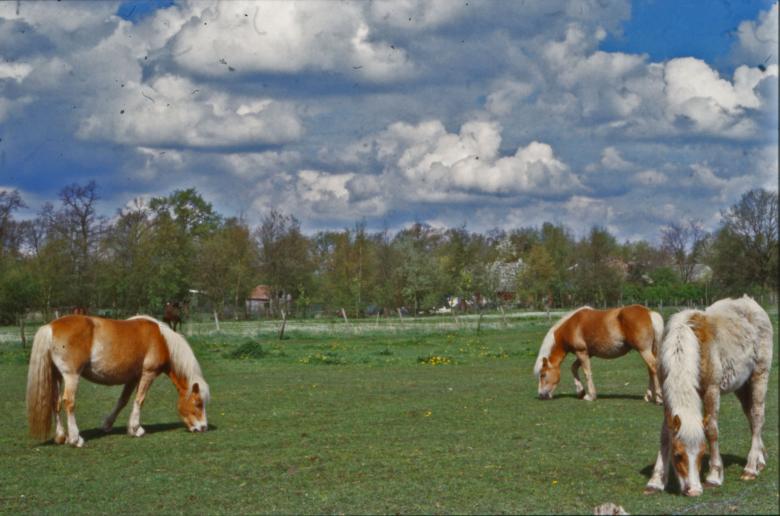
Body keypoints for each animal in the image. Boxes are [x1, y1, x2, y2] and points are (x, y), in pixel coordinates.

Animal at [26, 314, 209, 448]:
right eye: (198, 403)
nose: (203, 428)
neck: (162, 340)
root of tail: (51, 327)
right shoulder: (148, 374)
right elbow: (140, 400)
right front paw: (136, 429)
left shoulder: (133, 378)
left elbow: (123, 401)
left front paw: (108, 425)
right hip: (71, 376)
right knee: (68, 402)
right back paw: (75, 439)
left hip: (57, 376)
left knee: (55, 402)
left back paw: (60, 436)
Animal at [534, 304, 664, 402]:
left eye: (543, 374)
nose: (541, 395)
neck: (571, 326)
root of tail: (649, 313)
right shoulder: (587, 353)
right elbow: (573, 368)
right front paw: (580, 391)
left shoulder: (581, 352)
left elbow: (587, 372)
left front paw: (590, 396)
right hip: (650, 350)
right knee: (650, 370)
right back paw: (648, 396)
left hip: (644, 351)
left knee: (653, 367)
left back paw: (659, 398)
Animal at [644, 296, 772, 496]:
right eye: (677, 455)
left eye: (701, 453)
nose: (694, 491)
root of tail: (752, 303)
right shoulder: (666, 393)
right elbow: (665, 433)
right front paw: (656, 481)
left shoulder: (712, 390)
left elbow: (712, 429)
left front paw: (714, 476)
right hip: (742, 386)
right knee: (751, 416)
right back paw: (760, 459)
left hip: (760, 375)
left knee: (758, 416)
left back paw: (751, 468)